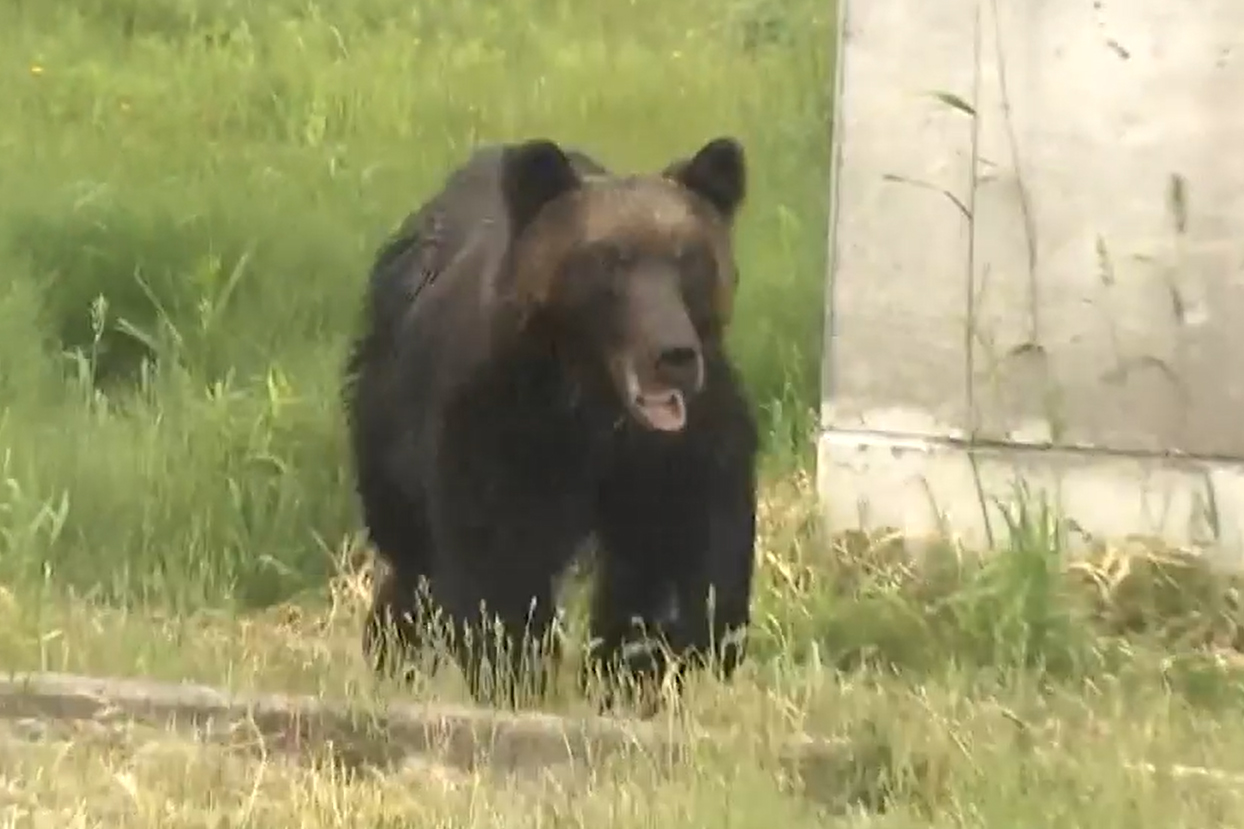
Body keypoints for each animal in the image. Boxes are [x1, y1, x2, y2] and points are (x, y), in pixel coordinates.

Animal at [345, 135, 761, 711]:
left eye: (688, 257)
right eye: (611, 259)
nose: (673, 354)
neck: (596, 405)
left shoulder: (676, 450)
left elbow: (679, 555)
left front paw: (641, 668)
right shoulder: (503, 429)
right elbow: (500, 570)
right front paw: (515, 673)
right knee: (412, 558)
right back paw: (394, 653)